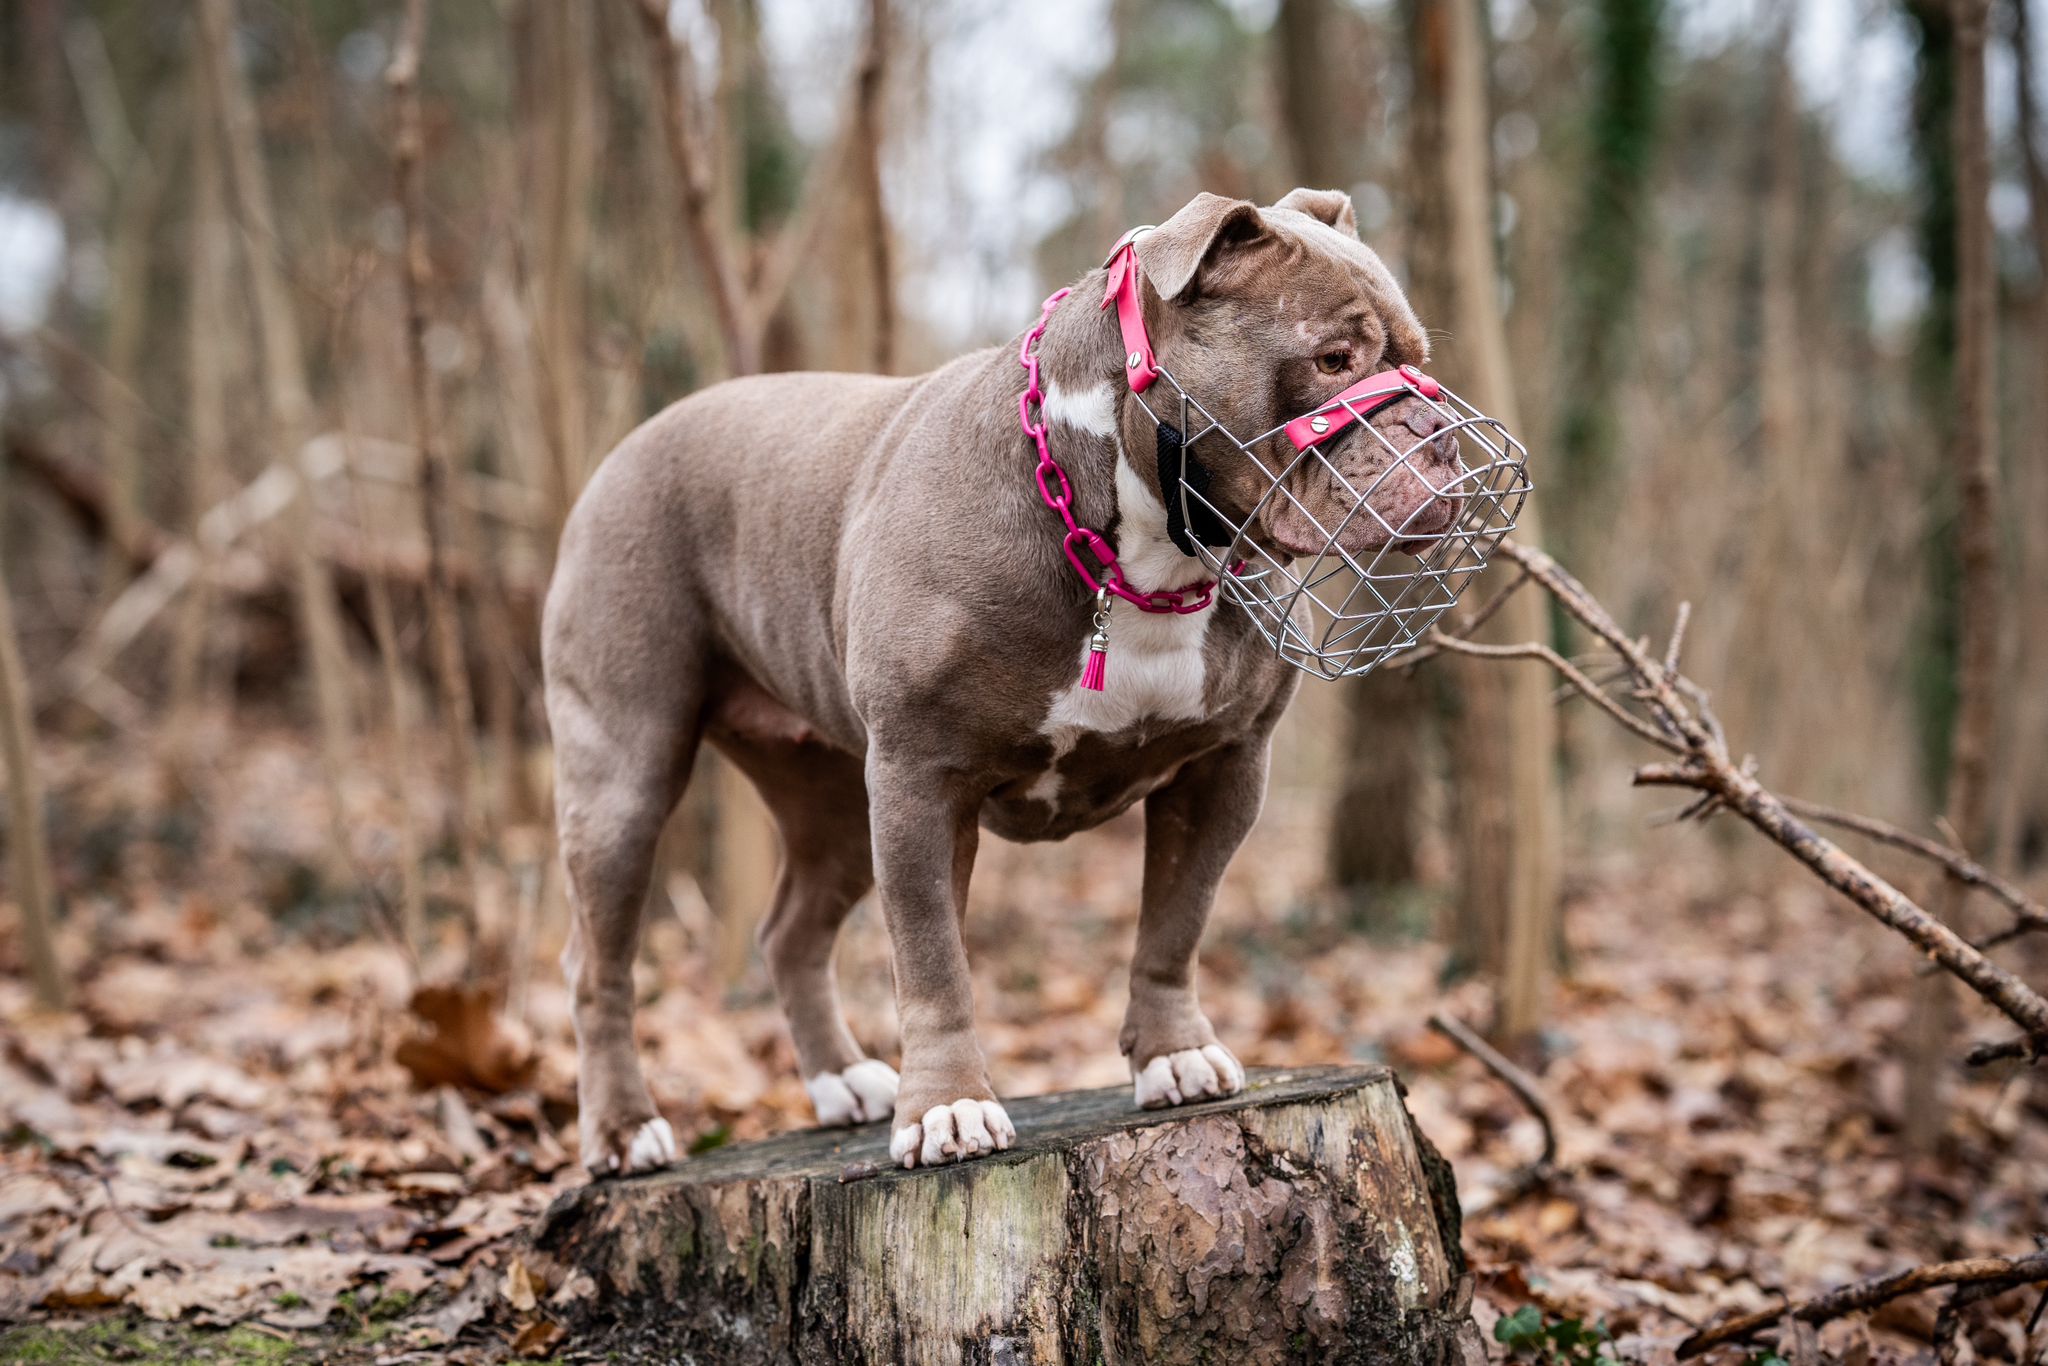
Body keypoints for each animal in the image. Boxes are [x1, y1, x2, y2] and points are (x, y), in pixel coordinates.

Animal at [548, 184, 1458, 1179]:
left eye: (1418, 359)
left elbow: (1177, 922)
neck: (1136, 555)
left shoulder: (1222, 767)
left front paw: (1174, 1054)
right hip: (626, 773)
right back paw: (625, 1130)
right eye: (1334, 361)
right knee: (598, 965)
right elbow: (933, 957)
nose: (1441, 439)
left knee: (791, 932)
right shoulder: (920, 777)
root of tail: (629, 445)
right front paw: (948, 1109)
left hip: (833, 798)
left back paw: (842, 1083)